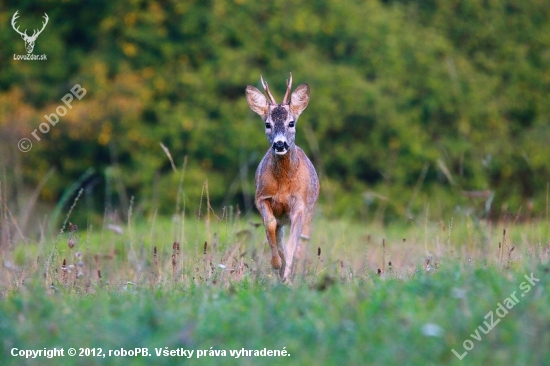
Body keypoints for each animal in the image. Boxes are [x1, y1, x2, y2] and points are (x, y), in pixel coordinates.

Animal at [247, 73, 322, 280]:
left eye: (291, 123)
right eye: (267, 124)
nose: (280, 144)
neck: (283, 185)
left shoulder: (300, 205)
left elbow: (292, 244)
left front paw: (287, 273)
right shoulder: (261, 198)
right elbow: (271, 226)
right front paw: (277, 264)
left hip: (310, 210)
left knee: (303, 240)